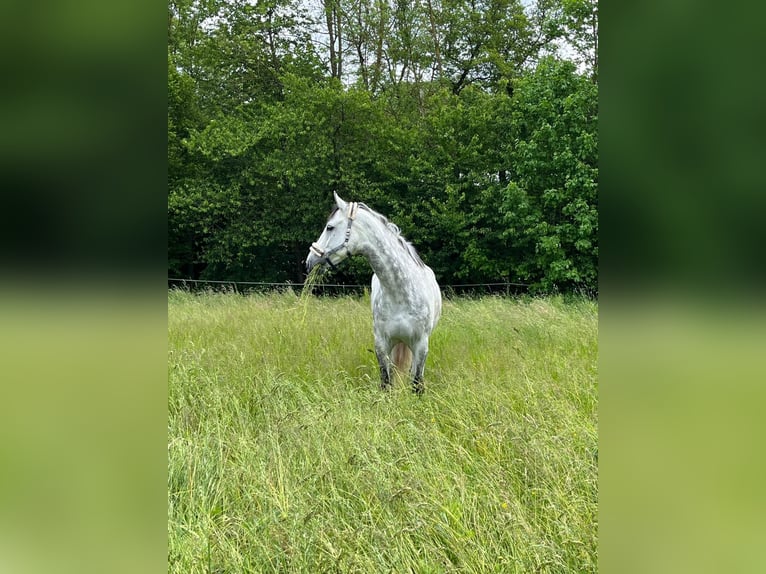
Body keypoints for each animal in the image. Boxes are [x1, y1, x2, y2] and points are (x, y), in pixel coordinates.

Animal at [304, 194, 440, 396]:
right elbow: (386, 383)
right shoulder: (381, 344)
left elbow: (416, 384)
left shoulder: (421, 345)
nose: (309, 261)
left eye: (330, 227)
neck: (400, 292)